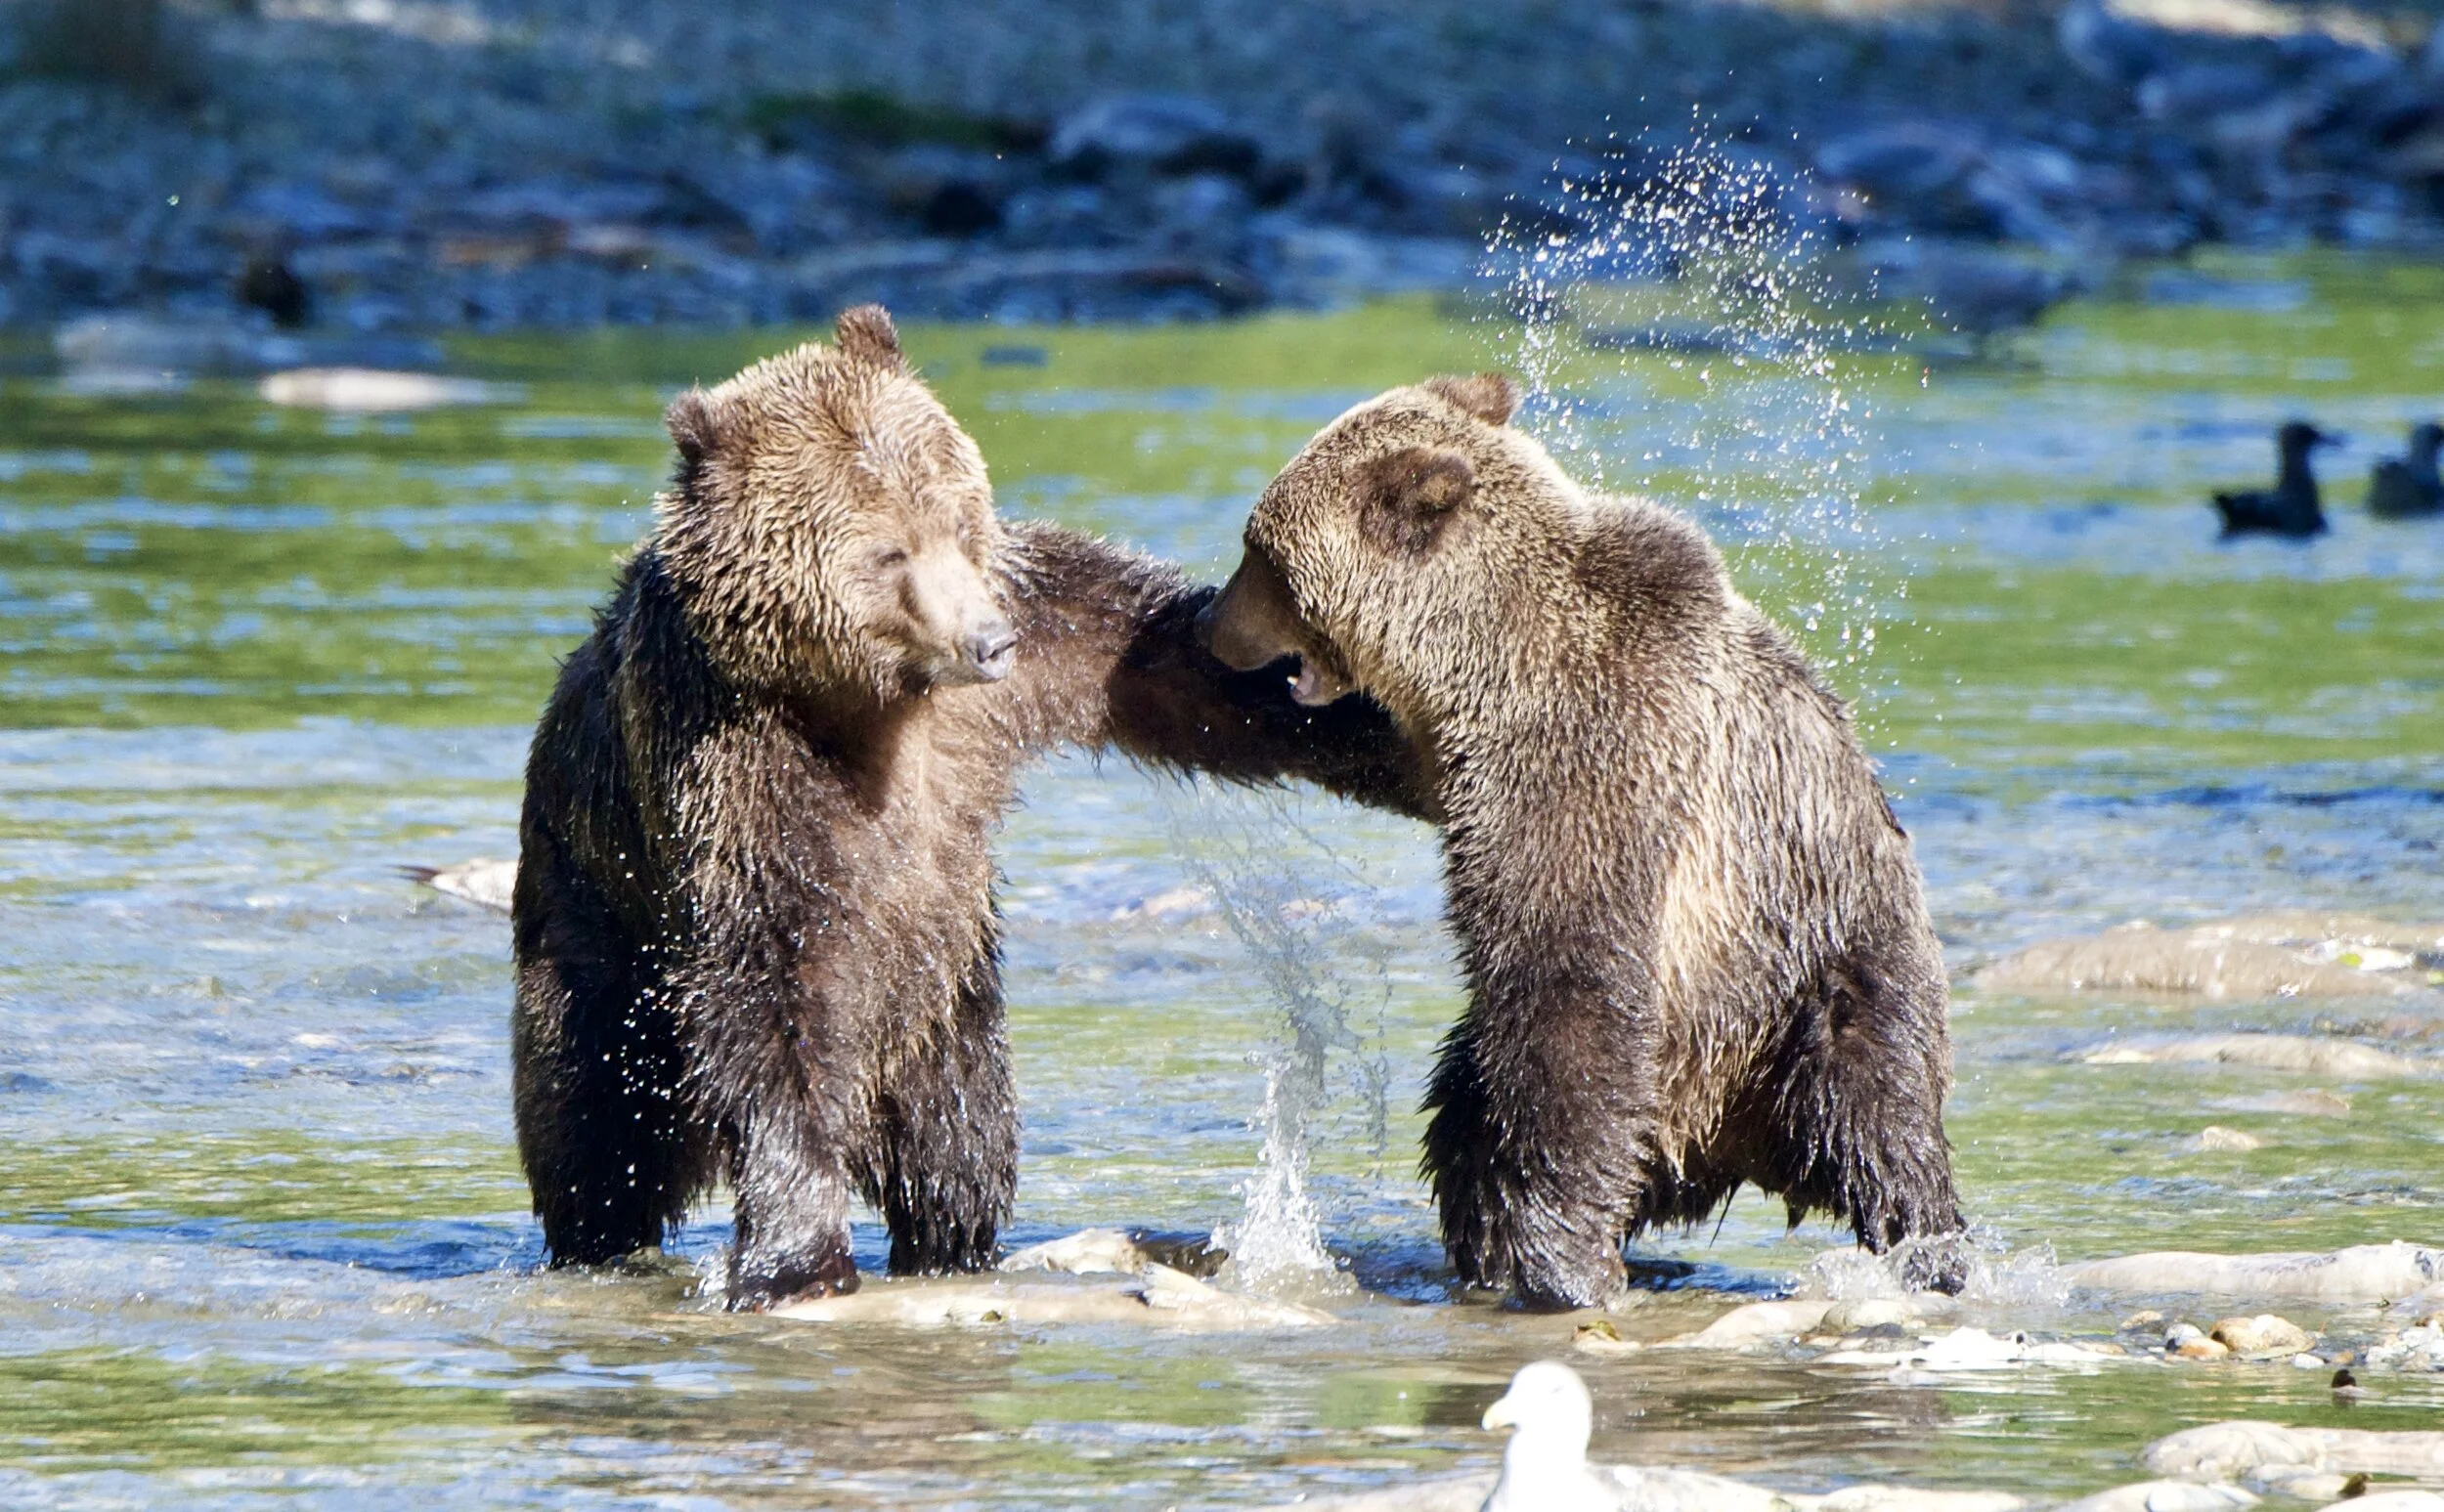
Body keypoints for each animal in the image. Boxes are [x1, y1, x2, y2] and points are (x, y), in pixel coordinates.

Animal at [512, 306, 1429, 1310]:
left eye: (956, 517)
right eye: (887, 551)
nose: (987, 639)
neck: (869, 702)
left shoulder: (1044, 641)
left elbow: (1193, 673)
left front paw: (1397, 732)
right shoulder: (735, 763)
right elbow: (776, 988)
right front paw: (795, 1255)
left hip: (948, 1006)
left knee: (958, 1133)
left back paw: (951, 1240)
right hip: (594, 924)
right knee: (594, 1112)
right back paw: (601, 1238)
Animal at [1196, 372, 1961, 1309]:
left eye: (1257, 553)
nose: (1210, 625)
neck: (1483, 667)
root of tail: (1728, 1141)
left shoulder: (1592, 764)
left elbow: (1572, 992)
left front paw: (1563, 1254)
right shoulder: (1454, 763)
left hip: (1818, 972)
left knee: (1880, 1110)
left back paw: (1924, 1245)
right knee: (1464, 1107)